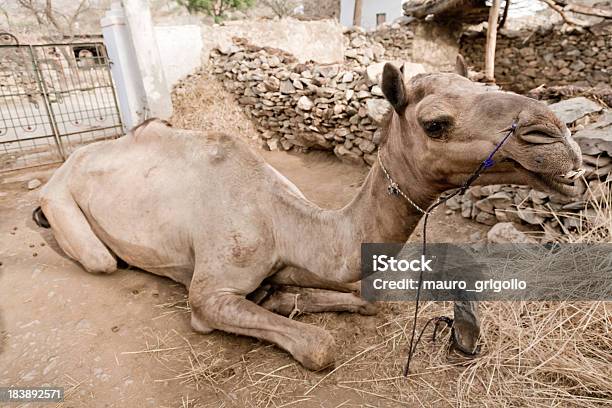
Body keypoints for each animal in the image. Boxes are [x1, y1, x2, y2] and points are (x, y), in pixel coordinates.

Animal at [34, 59, 584, 370]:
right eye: (435, 124)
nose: (557, 137)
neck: (284, 223)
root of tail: (71, 159)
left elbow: (366, 299)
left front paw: (282, 298)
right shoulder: (207, 293)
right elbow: (319, 346)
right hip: (62, 198)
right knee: (99, 257)